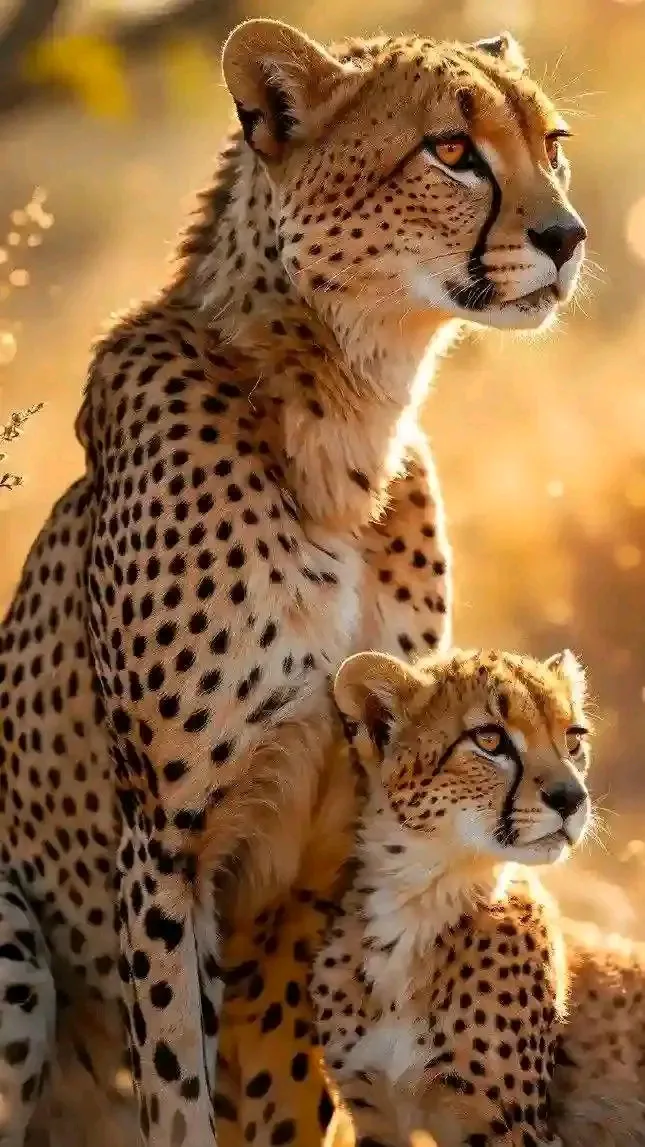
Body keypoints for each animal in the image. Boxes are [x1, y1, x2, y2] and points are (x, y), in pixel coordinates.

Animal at [312, 646, 592, 1147]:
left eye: (573, 738)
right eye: (490, 739)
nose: (571, 798)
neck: (419, 902)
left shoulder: (512, 1128)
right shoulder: (374, 1111)